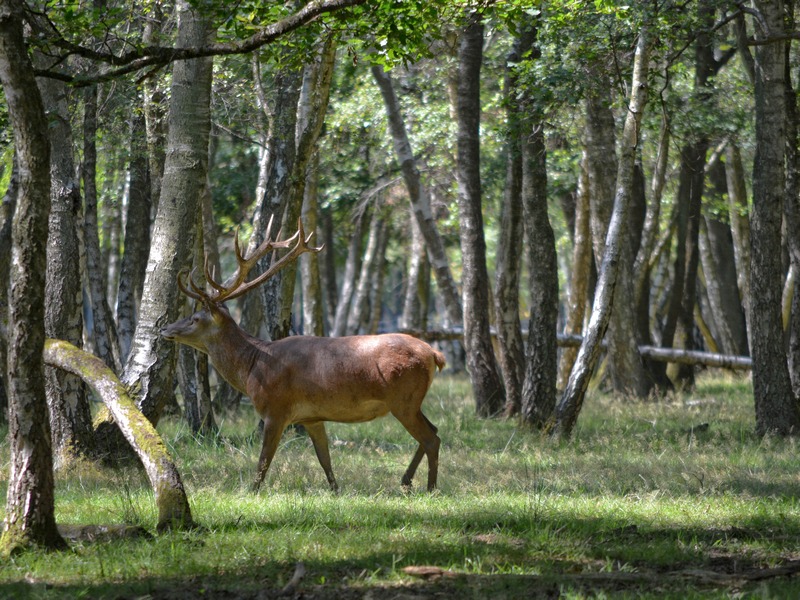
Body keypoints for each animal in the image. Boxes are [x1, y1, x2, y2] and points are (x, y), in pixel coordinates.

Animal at [158, 216, 444, 492]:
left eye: (195, 318)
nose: (164, 329)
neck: (252, 368)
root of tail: (434, 354)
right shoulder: (311, 417)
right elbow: (324, 458)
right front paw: (335, 489)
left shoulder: (276, 409)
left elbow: (264, 460)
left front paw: (251, 491)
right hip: (410, 401)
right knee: (434, 430)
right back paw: (406, 481)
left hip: (403, 398)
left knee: (431, 438)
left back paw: (429, 487)